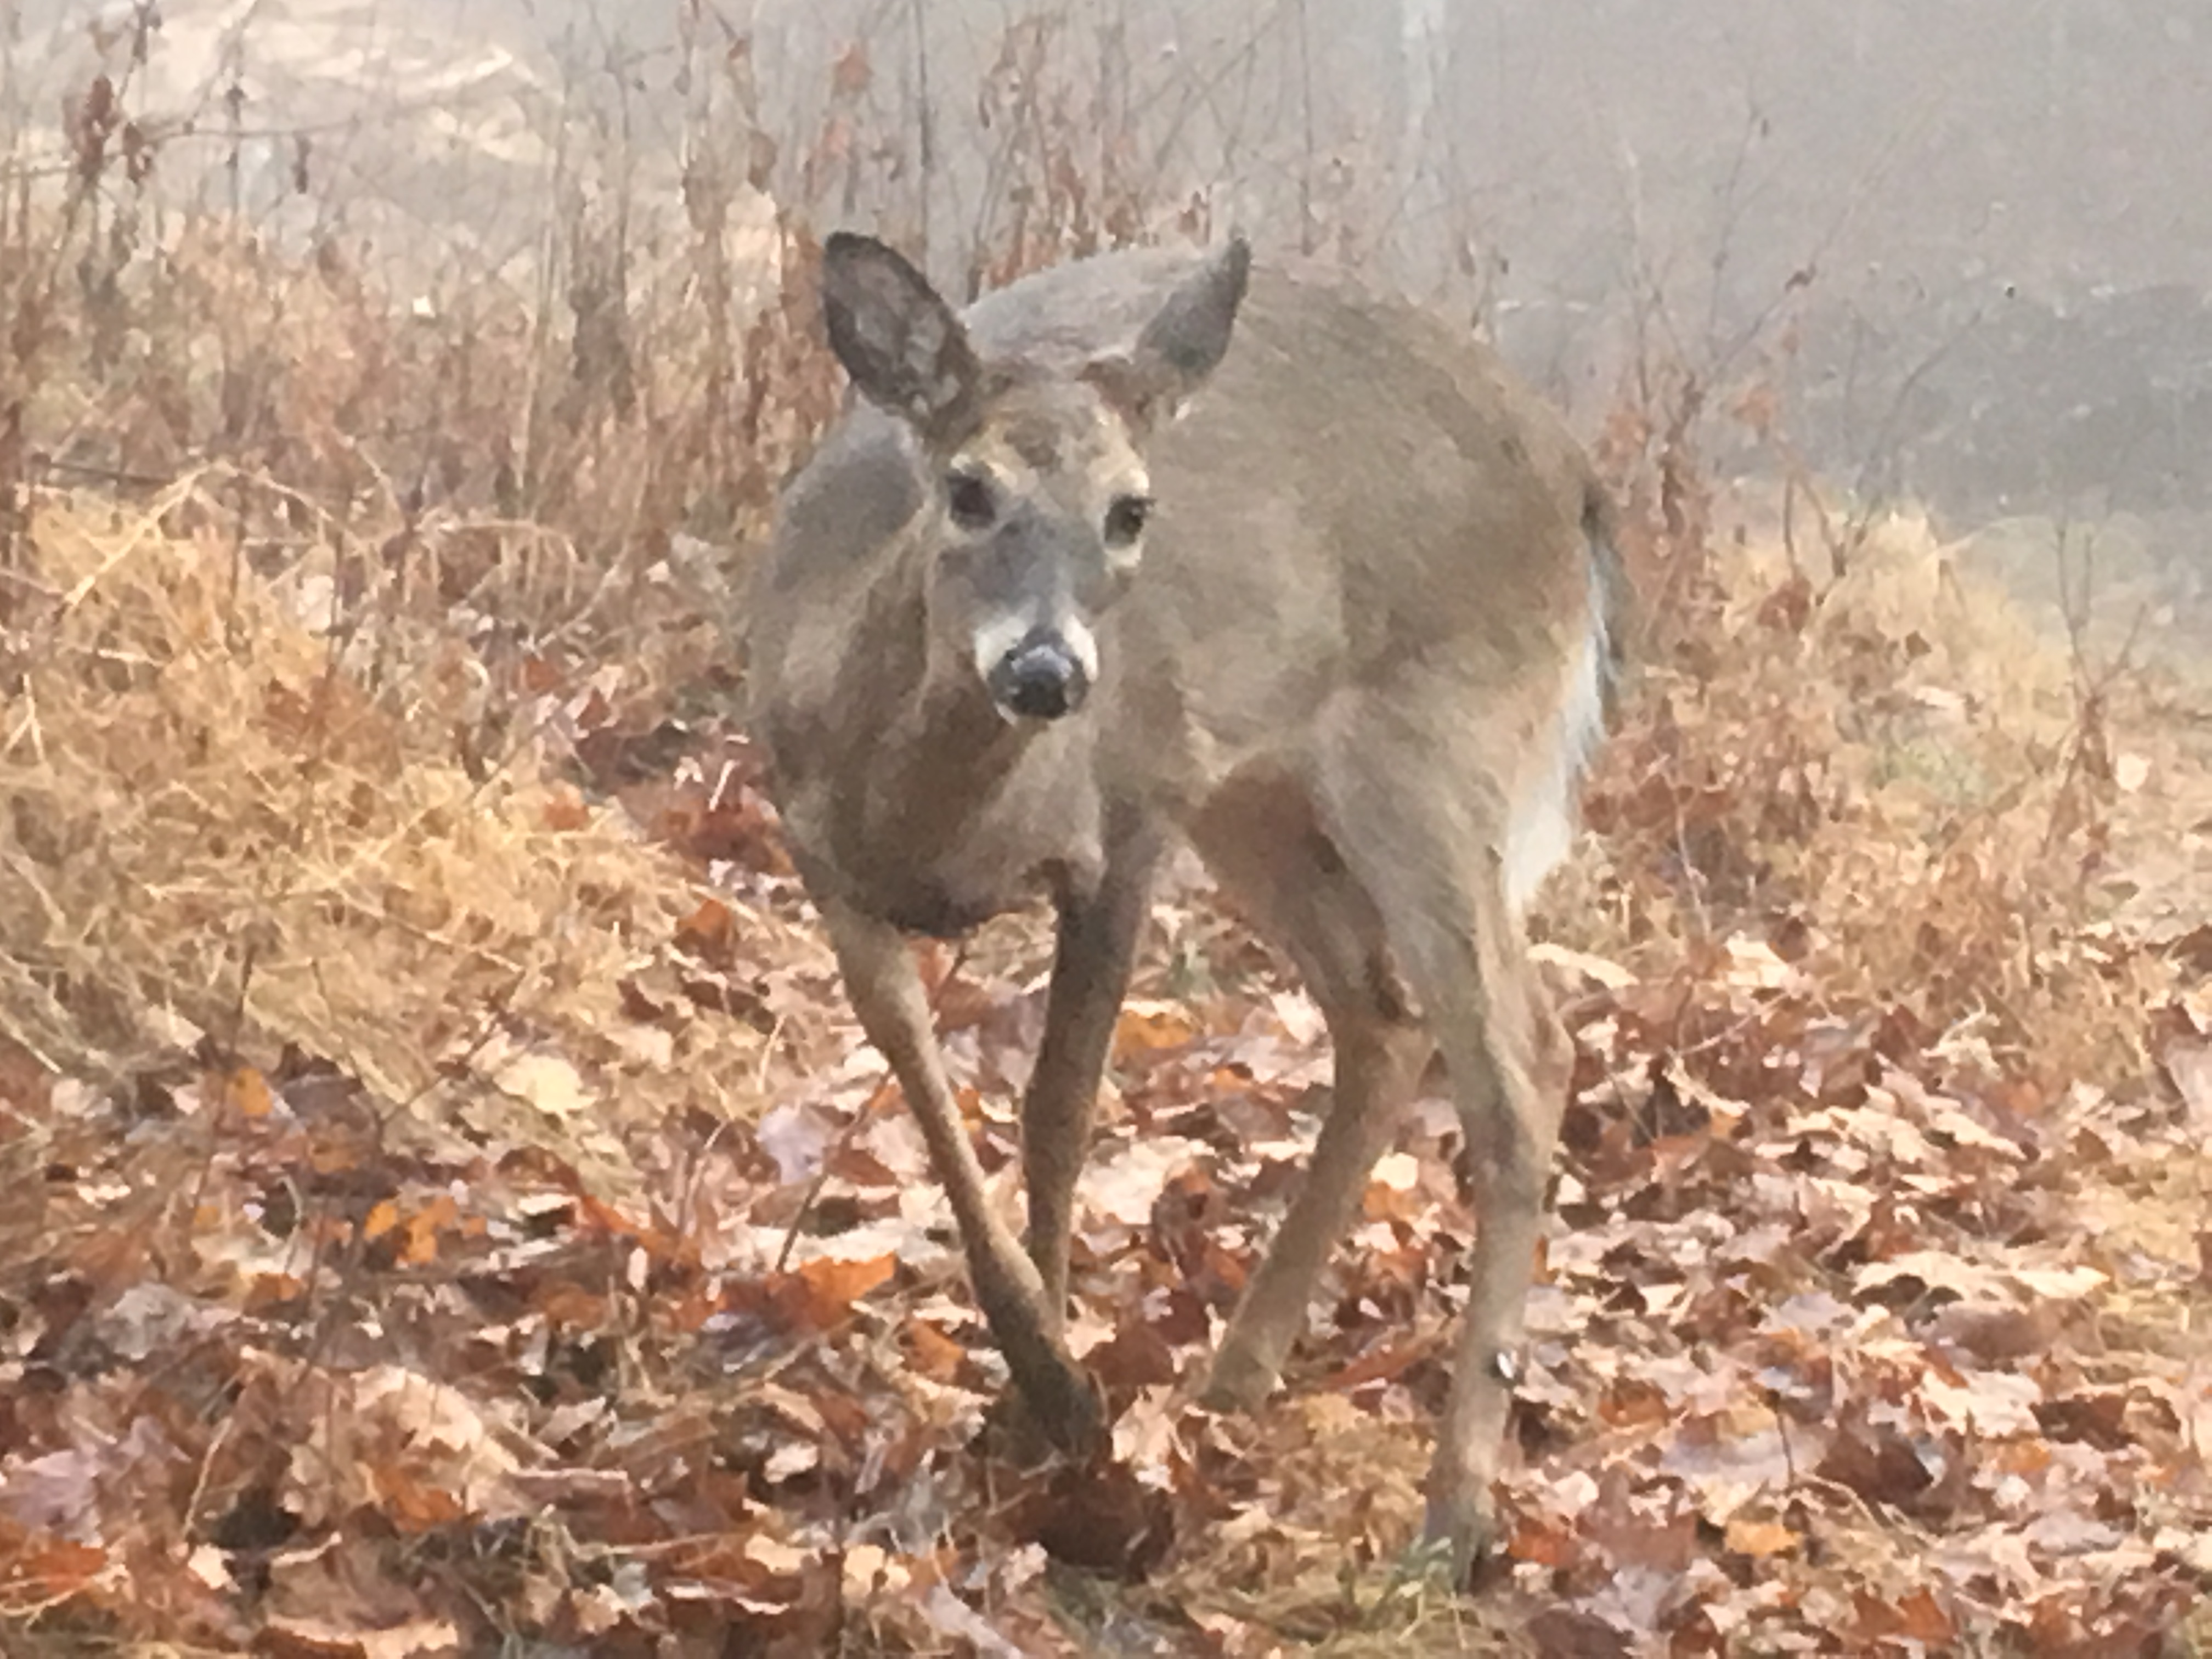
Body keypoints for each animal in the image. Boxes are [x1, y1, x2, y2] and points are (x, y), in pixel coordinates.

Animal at [745, 228, 1626, 1576]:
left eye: (1130, 510)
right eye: (969, 489)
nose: (1047, 670)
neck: (933, 824)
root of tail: (1578, 481)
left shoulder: (1134, 816)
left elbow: (1059, 1107)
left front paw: (1054, 1399)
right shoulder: (824, 861)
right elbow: (926, 1084)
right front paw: (1044, 1370)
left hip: (1432, 756)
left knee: (1523, 1057)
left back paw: (1453, 1512)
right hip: (1264, 801)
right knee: (1384, 1019)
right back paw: (1234, 1377)